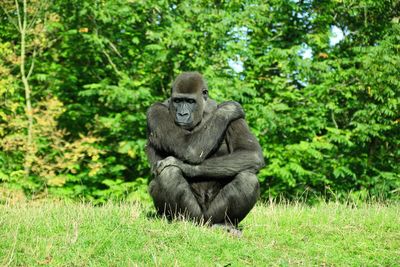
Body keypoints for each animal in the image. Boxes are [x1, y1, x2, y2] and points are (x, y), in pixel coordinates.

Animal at [145, 71, 264, 228]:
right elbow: (188, 148)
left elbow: (250, 153)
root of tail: (204, 223)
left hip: (210, 218)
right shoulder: (155, 110)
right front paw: (228, 110)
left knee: (247, 179)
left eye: (190, 102)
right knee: (168, 173)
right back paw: (179, 221)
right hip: (195, 217)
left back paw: (225, 224)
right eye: (177, 101)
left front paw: (183, 165)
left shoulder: (236, 120)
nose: (182, 114)